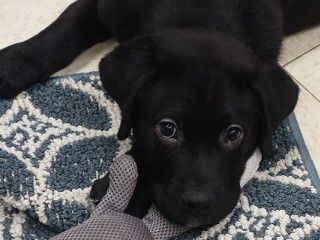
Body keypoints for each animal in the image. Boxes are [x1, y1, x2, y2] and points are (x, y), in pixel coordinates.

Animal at [0, 0, 318, 227]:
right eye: (167, 128)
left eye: (233, 134)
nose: (197, 205)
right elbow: (65, 27)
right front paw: (14, 64)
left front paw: (125, 191)